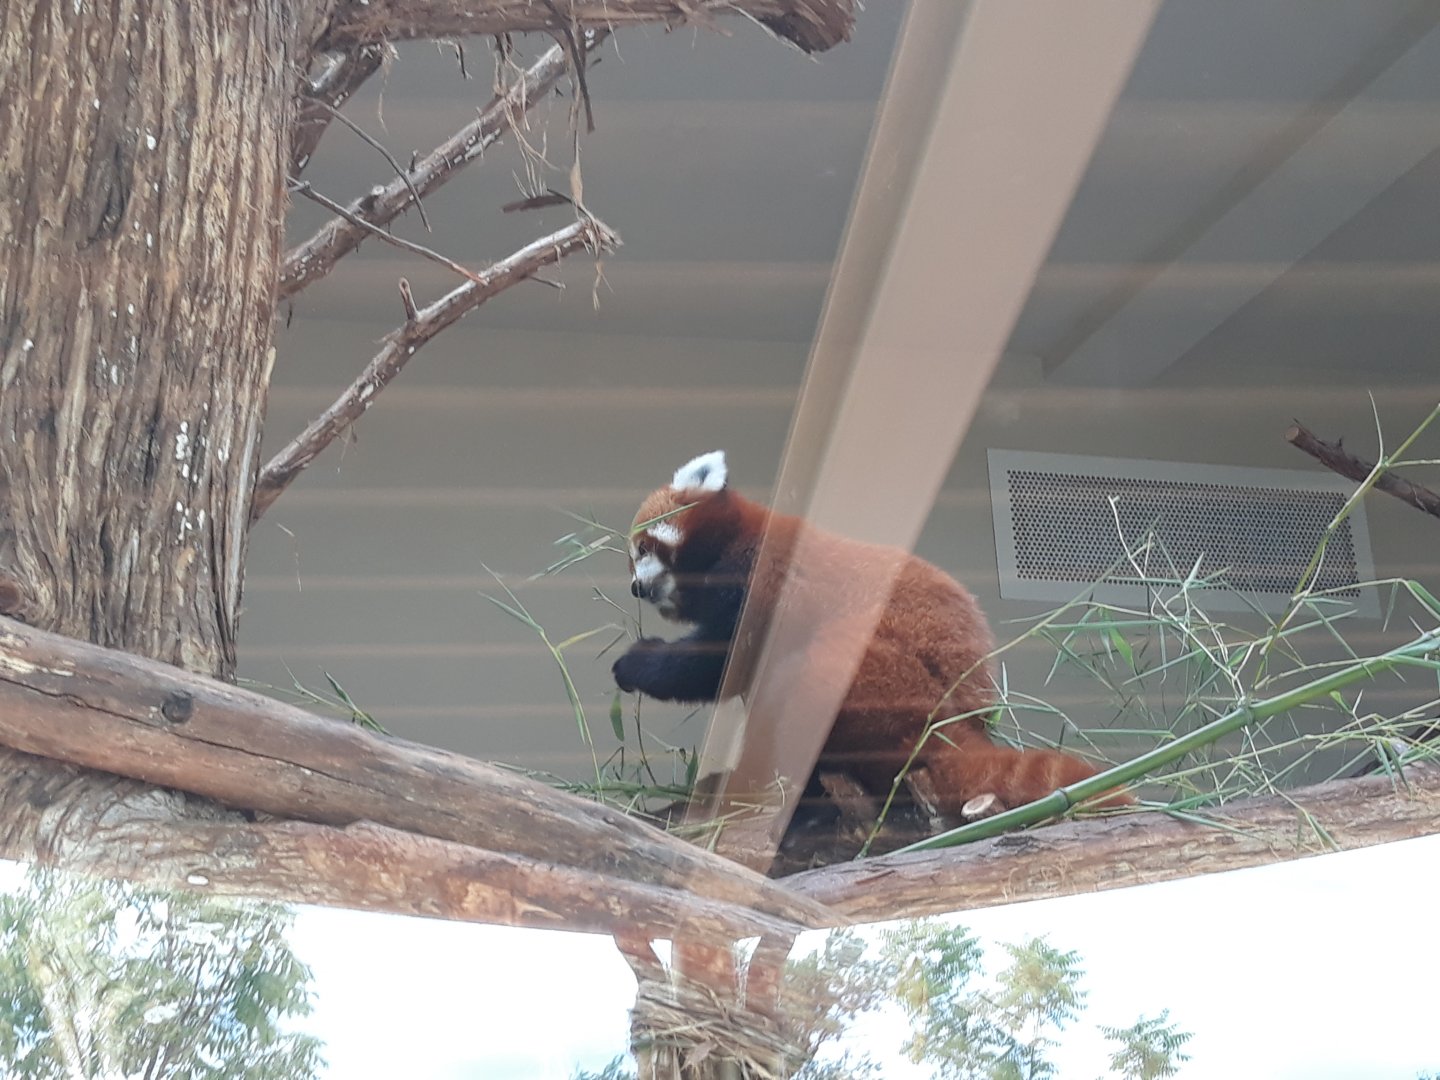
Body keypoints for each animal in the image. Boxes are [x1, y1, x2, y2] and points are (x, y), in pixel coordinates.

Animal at [612, 450, 1125, 822]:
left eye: (643, 548)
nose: (636, 587)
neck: (733, 542)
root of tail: (957, 725)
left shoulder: (759, 579)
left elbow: (713, 665)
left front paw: (636, 663)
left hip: (883, 681)